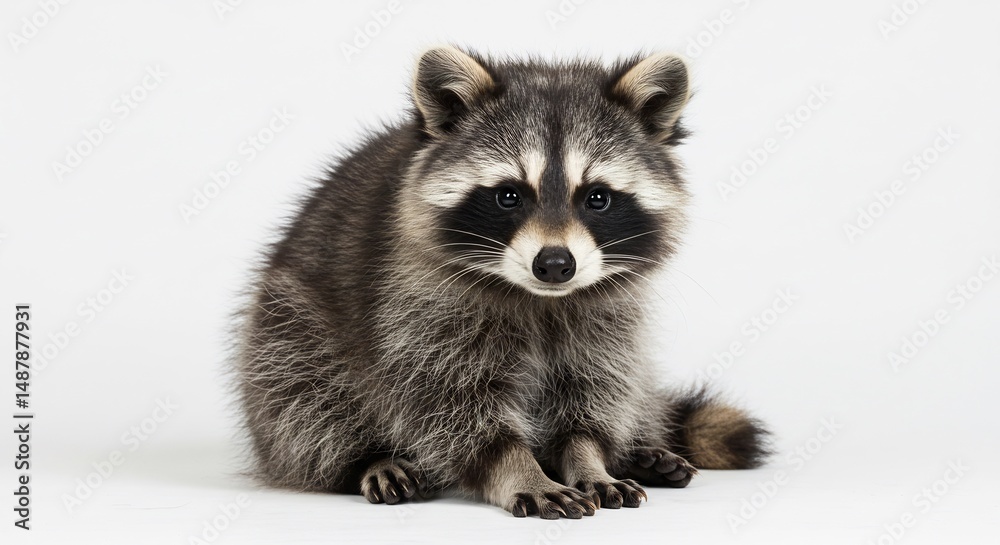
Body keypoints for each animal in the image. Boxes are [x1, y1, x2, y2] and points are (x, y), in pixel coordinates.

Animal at [233, 46, 770, 519]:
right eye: (509, 195)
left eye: (597, 197)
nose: (555, 264)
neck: (541, 299)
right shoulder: (414, 305)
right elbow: (450, 403)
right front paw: (519, 468)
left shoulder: (607, 313)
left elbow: (595, 387)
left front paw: (588, 459)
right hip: (286, 327)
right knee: (305, 400)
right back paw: (368, 458)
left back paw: (639, 450)